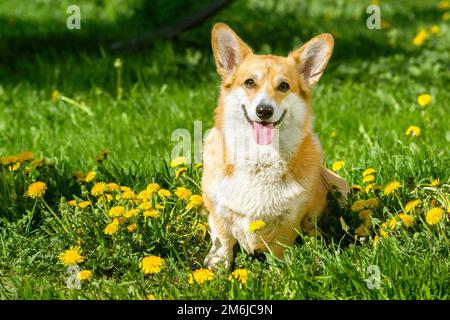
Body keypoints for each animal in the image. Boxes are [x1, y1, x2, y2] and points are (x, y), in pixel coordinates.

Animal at [202, 23, 350, 270]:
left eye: (283, 86)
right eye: (249, 82)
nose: (264, 110)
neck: (260, 158)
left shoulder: (288, 221)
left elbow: (279, 250)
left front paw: (279, 271)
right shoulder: (218, 211)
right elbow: (222, 241)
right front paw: (218, 267)